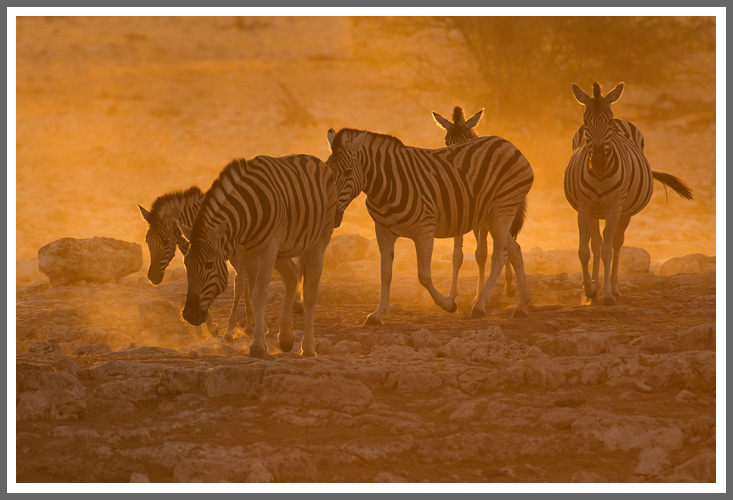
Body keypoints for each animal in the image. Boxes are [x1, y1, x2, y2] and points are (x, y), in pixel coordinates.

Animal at [138, 187, 252, 341]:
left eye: (166, 242)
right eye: (147, 241)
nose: (153, 277)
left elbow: (238, 284)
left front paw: (226, 330)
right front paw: (203, 329)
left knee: (244, 281)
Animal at [179, 155, 336, 358]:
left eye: (208, 265)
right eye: (186, 265)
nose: (190, 315)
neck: (245, 216)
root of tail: (313, 159)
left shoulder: (268, 248)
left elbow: (260, 293)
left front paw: (257, 346)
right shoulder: (246, 251)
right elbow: (253, 291)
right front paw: (260, 337)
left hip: (319, 239)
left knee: (309, 293)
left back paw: (308, 348)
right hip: (281, 251)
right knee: (292, 277)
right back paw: (285, 337)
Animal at [326, 127, 534, 324]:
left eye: (347, 172)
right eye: (327, 171)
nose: (332, 214)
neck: (386, 186)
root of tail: (507, 143)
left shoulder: (424, 230)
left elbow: (424, 276)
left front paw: (448, 304)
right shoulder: (383, 231)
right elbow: (385, 273)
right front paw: (378, 314)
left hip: (502, 209)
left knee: (500, 256)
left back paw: (480, 306)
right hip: (489, 216)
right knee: (515, 250)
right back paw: (521, 306)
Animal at [432, 106, 527, 302]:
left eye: (467, 141)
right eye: (446, 142)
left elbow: (481, 253)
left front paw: (480, 295)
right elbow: (457, 256)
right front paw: (452, 294)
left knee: (507, 243)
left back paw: (510, 287)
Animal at [565, 82, 693, 305]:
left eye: (607, 121)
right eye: (585, 121)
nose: (598, 161)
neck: (600, 174)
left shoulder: (614, 208)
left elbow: (608, 251)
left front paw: (607, 294)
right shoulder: (584, 207)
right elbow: (584, 251)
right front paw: (589, 289)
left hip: (625, 212)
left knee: (616, 244)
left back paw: (614, 289)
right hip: (596, 212)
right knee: (596, 244)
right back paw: (594, 290)